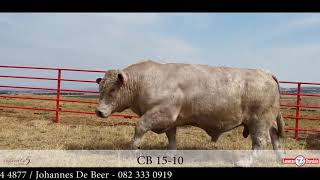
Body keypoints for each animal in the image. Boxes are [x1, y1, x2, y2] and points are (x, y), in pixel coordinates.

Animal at [95, 60, 284, 163]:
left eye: (112, 90)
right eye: (100, 89)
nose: (99, 112)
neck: (145, 81)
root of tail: (266, 73)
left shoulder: (162, 112)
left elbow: (140, 127)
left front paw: (134, 149)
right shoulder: (170, 120)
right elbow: (171, 138)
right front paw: (170, 156)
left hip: (259, 121)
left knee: (260, 142)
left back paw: (246, 162)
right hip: (267, 121)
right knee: (275, 137)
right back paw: (280, 158)